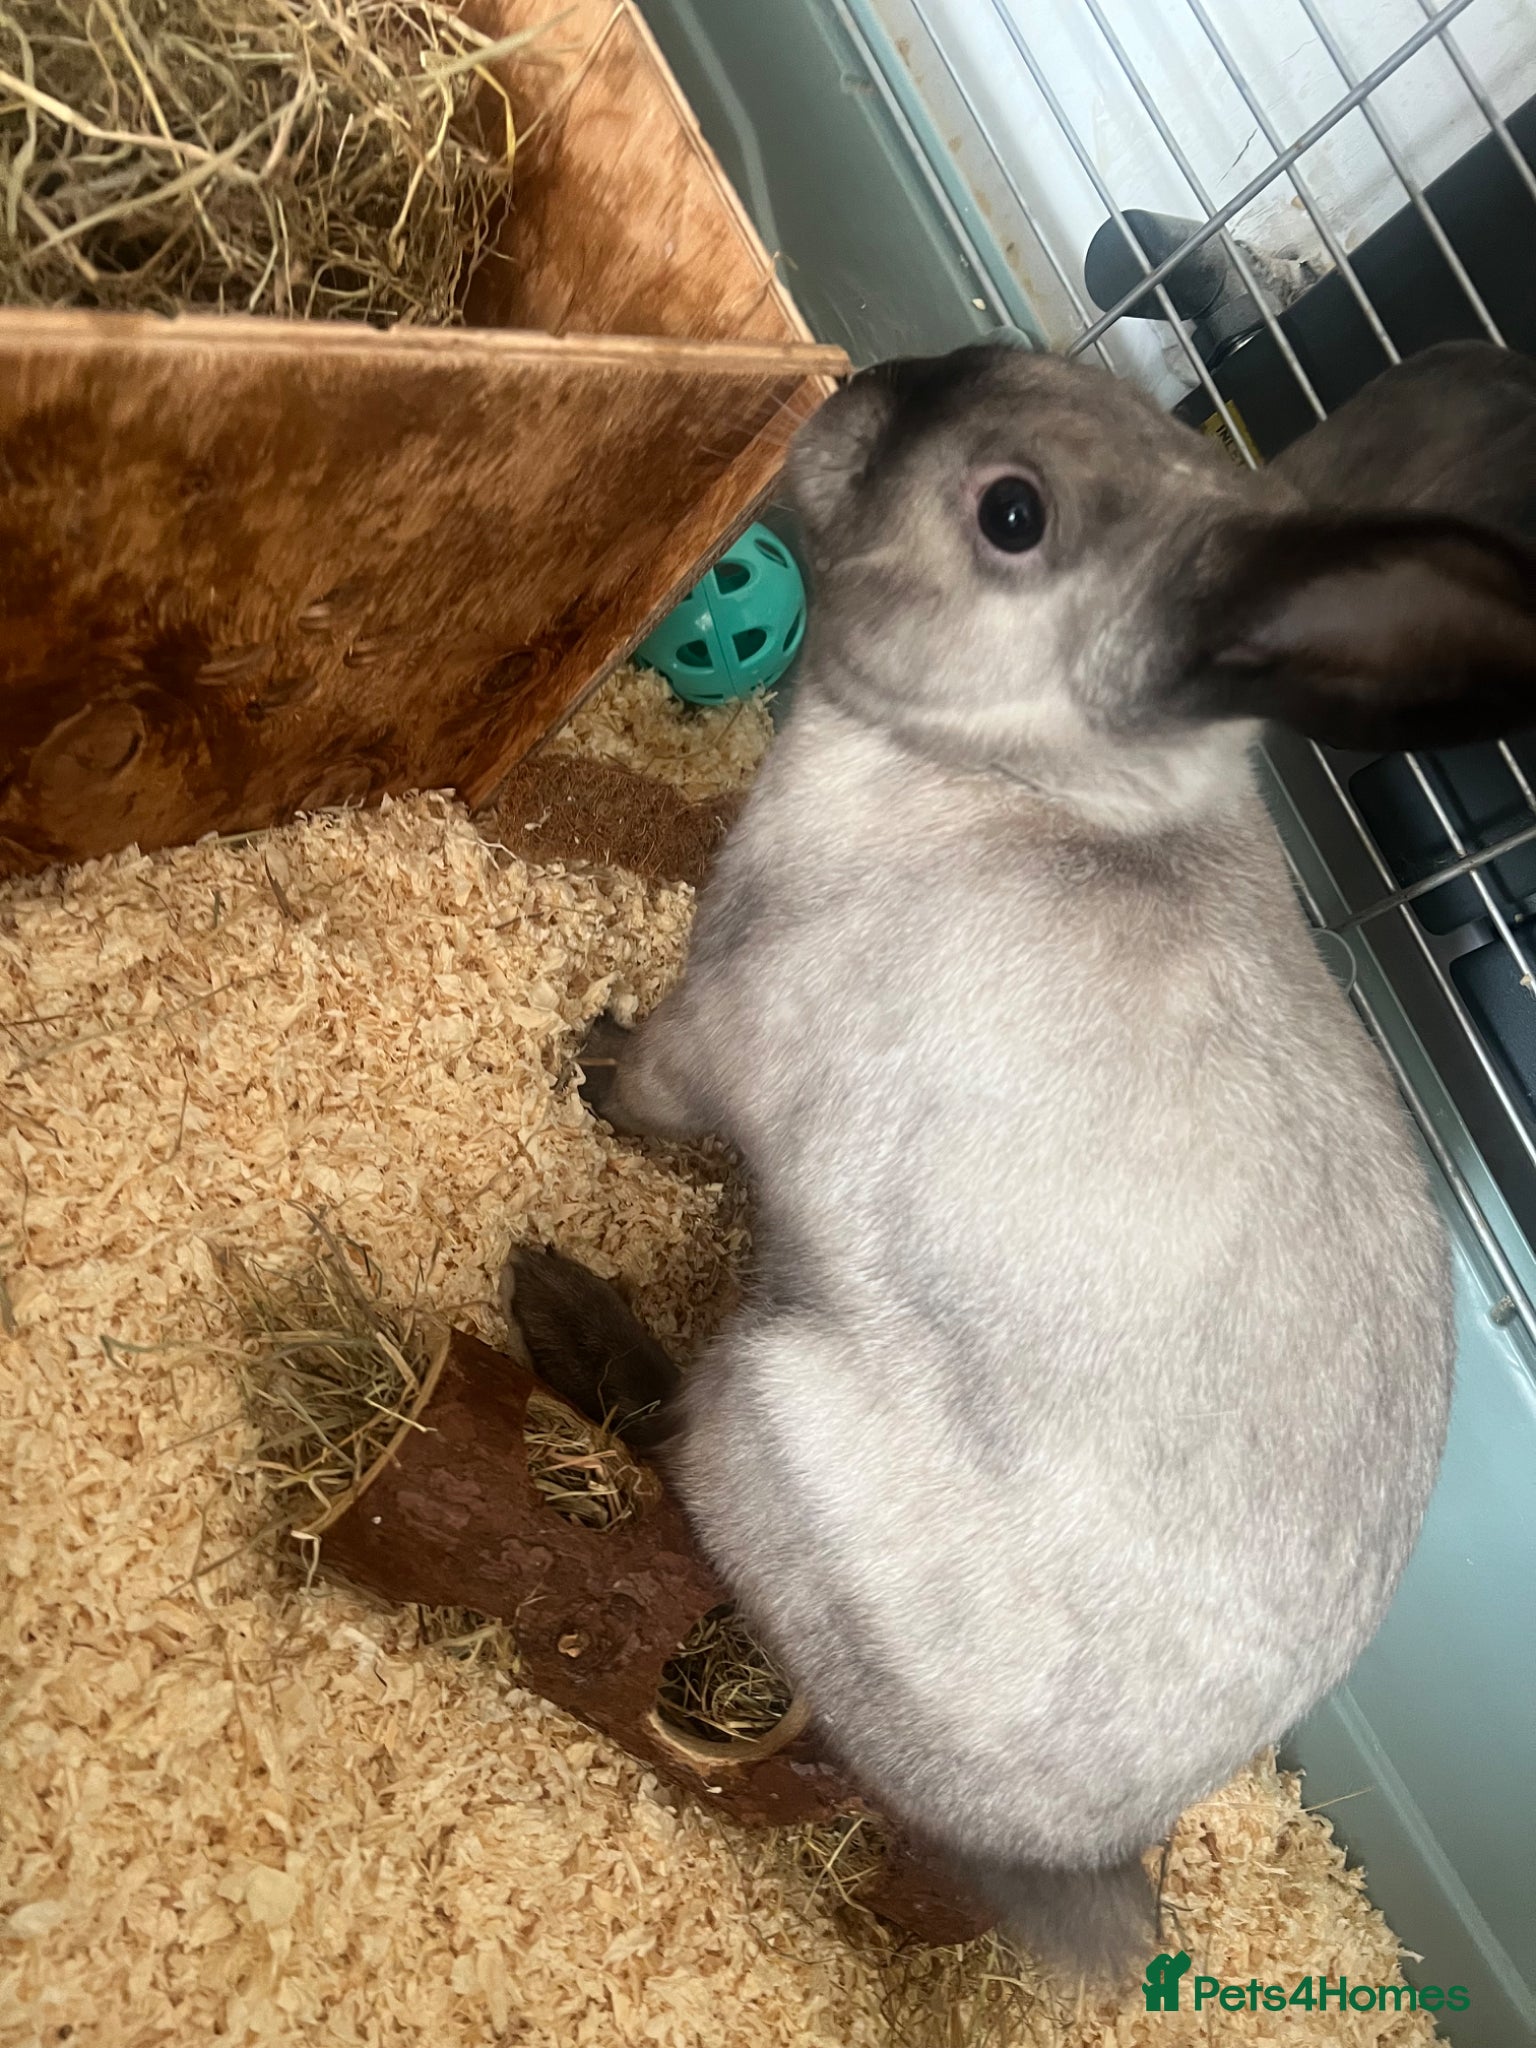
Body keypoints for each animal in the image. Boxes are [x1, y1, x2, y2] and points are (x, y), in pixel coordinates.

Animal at [573, 342, 1536, 1980]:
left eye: (1012, 514)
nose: (872, 385)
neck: (1023, 777)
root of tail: (1089, 1845)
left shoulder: (733, 1020)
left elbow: (660, 1084)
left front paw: (585, 1069)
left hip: (769, 1398)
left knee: (689, 1458)